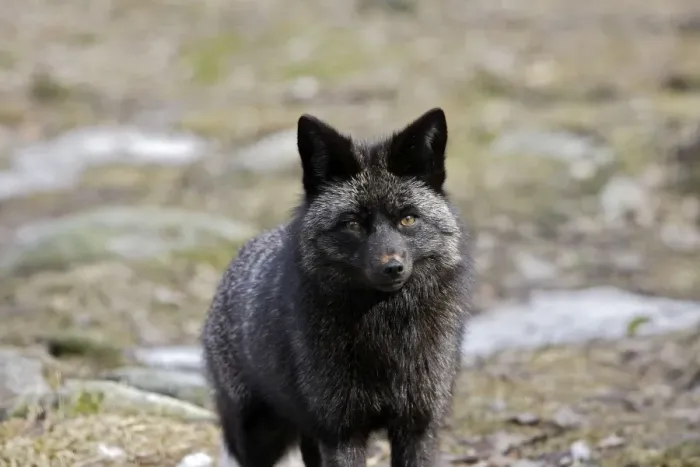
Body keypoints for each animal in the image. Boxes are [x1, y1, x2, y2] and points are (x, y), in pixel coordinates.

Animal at [201, 107, 473, 467]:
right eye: (353, 224)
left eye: (408, 219)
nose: (392, 268)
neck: (385, 332)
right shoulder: (341, 432)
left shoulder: (418, 425)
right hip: (259, 434)